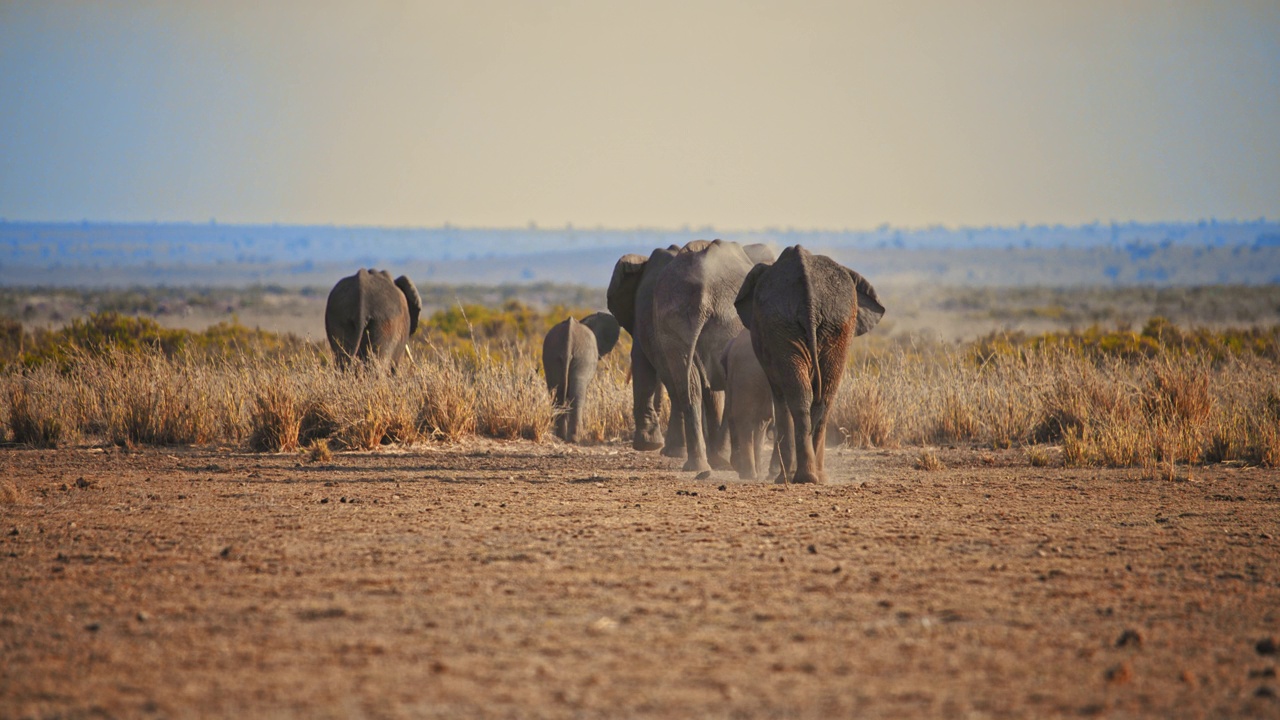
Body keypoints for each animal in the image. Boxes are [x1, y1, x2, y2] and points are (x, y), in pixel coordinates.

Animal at [540, 310, 619, 440]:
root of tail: (569, 337)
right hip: (583, 357)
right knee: (577, 395)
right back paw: (575, 438)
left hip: (552, 356)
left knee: (557, 394)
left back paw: (561, 437)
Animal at [737, 243, 885, 484]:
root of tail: (810, 300)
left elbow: (779, 397)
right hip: (826, 325)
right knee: (820, 397)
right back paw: (811, 476)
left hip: (809, 325)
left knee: (805, 396)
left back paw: (802, 476)